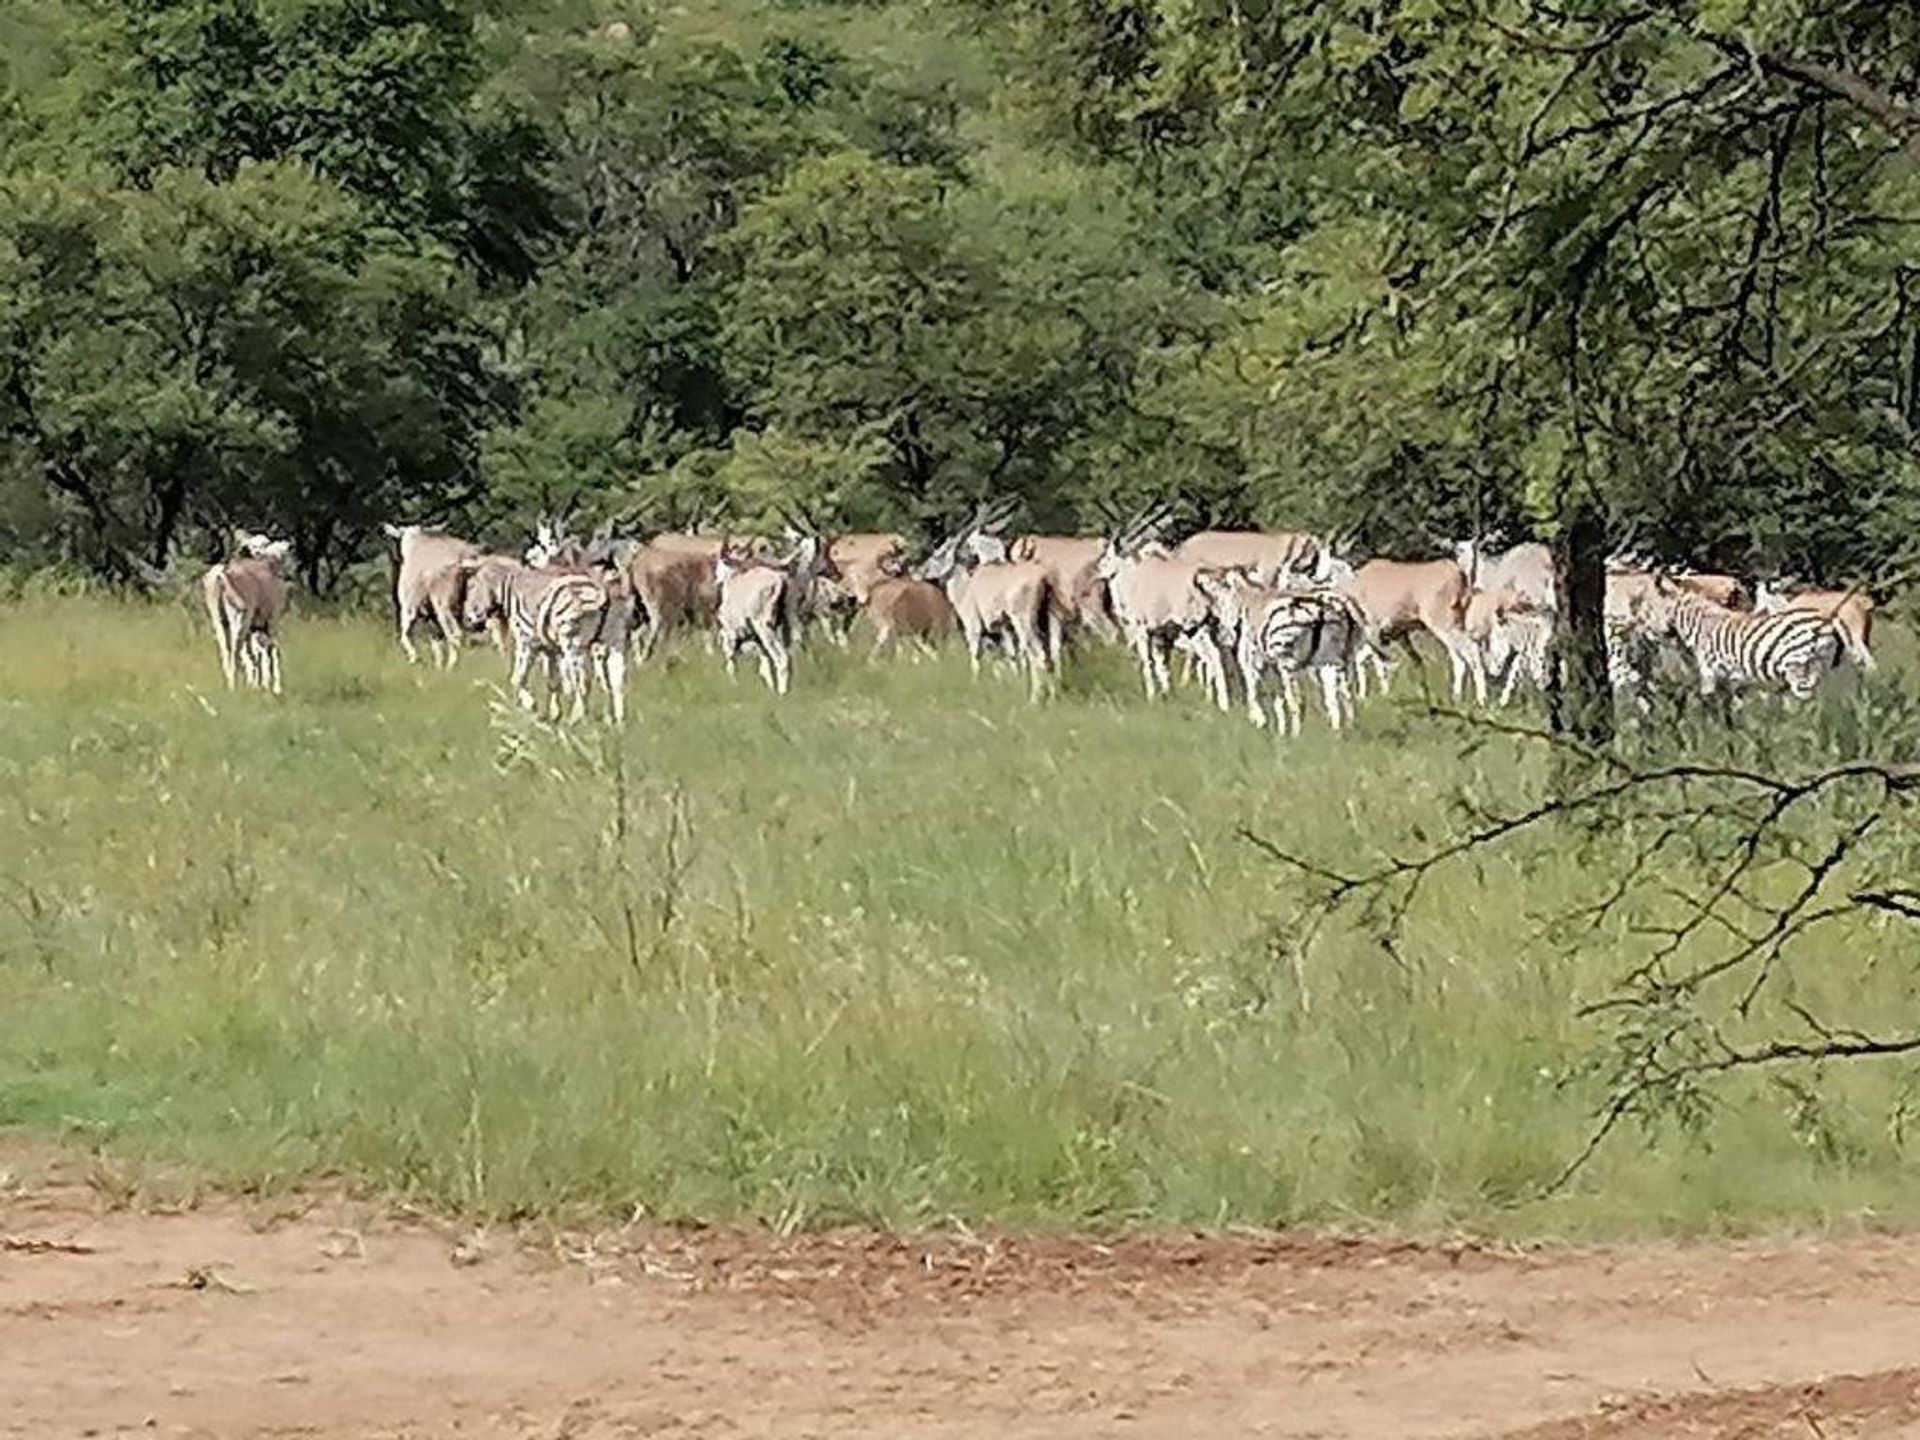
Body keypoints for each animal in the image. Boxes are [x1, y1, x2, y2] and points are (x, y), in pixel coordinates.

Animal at [204, 533, 293, 695]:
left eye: (264, 544)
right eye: (252, 545)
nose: (257, 553)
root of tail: (222, 572)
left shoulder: (254, 628)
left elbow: (255, 653)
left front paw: (257, 685)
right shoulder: (272, 620)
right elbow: (272, 650)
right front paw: (274, 688)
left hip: (219, 619)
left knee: (226, 650)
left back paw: (231, 685)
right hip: (240, 617)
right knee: (235, 650)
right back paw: (234, 687)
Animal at [456, 556, 629, 725]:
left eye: (470, 587)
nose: (467, 621)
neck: (510, 589)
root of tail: (601, 586)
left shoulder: (526, 641)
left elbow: (517, 678)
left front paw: (529, 706)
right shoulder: (550, 649)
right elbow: (553, 682)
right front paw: (554, 715)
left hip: (572, 642)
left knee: (582, 681)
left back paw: (577, 719)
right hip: (614, 641)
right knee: (616, 682)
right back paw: (617, 722)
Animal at [917, 503, 1067, 706]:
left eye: (938, 555)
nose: (918, 571)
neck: (967, 586)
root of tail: (1043, 578)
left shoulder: (974, 628)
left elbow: (976, 657)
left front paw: (975, 686)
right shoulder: (1003, 629)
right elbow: (1011, 657)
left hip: (1024, 623)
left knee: (1038, 655)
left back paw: (1034, 700)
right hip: (1052, 621)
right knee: (1053, 654)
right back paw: (1052, 698)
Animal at [1643, 579, 1850, 706]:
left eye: (1652, 608)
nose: (1650, 633)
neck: (1702, 626)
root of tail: (1825, 620)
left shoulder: (1709, 672)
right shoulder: (1733, 680)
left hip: (1798, 668)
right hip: (1819, 668)